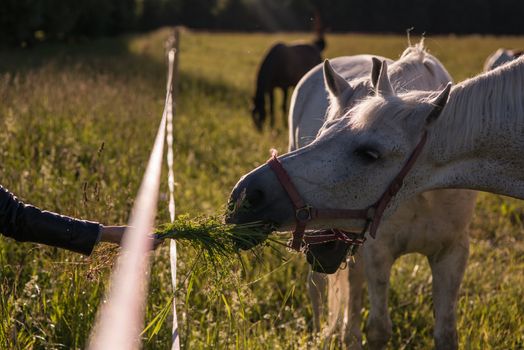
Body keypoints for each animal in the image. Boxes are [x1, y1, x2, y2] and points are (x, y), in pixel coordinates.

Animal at [290, 45, 478, 348]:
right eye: (321, 137)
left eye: (366, 154)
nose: (320, 248)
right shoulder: (379, 252)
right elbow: (379, 329)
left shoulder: (451, 253)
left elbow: (446, 334)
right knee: (318, 286)